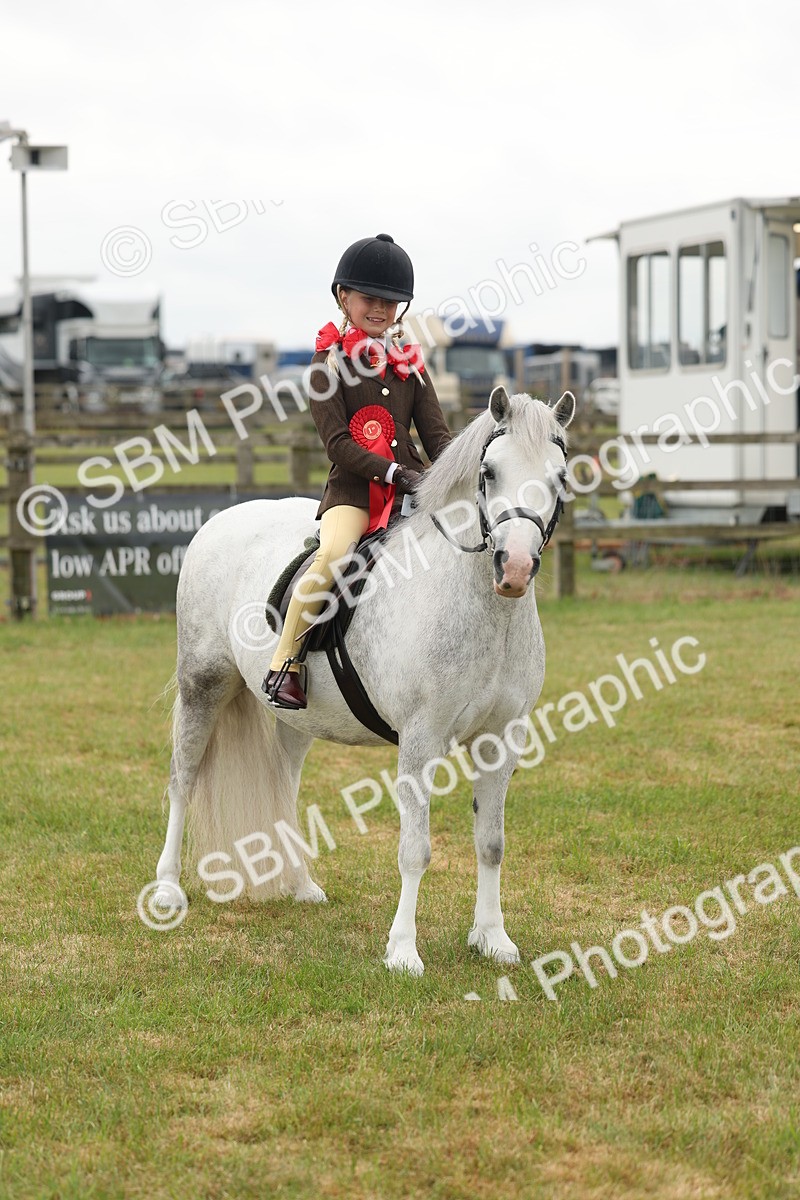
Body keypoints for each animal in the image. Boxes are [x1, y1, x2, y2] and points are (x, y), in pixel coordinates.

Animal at [152, 386, 575, 975]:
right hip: (203, 684)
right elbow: (415, 850)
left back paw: (301, 885)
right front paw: (402, 951)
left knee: (283, 785)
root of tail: (220, 521)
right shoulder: (420, 741)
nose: (513, 568)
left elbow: (491, 842)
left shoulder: (501, 739)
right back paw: (168, 889)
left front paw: (493, 939)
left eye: (560, 476)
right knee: (183, 778)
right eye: (489, 472)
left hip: (296, 718)